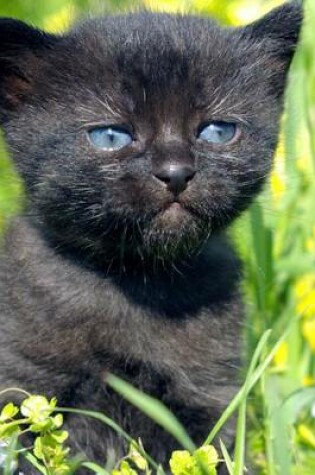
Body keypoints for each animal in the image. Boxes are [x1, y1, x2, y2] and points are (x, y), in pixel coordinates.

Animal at [0, 1, 302, 474]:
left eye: (216, 131)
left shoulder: (209, 388)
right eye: (110, 136)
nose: (176, 172)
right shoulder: (23, 379)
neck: (136, 279)